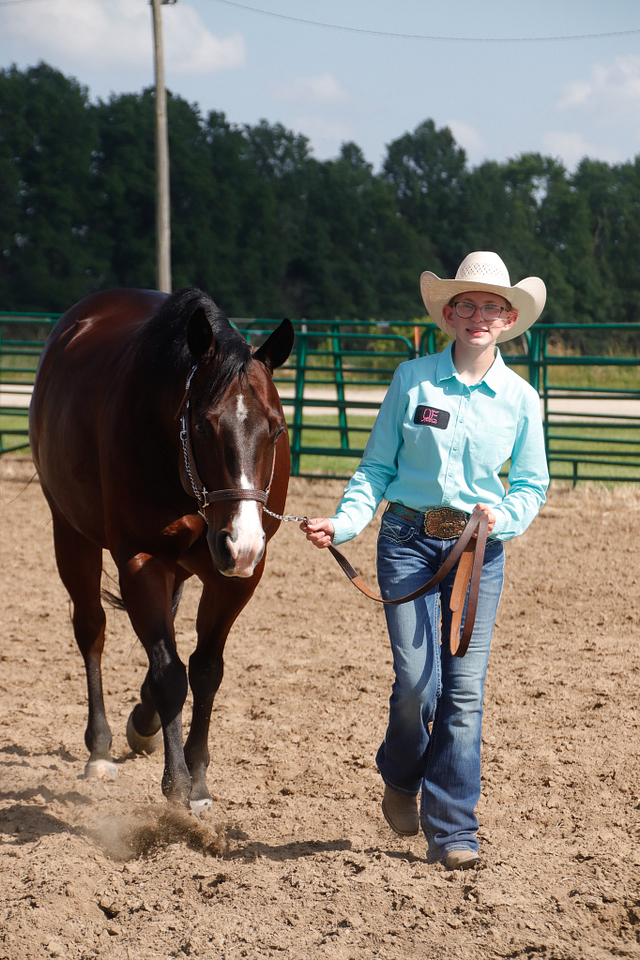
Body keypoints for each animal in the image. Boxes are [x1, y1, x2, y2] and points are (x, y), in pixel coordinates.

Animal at [29, 287, 294, 811]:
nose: (242, 542)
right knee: (92, 631)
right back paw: (101, 749)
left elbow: (205, 669)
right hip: (71, 535)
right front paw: (177, 787)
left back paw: (144, 720)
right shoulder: (141, 561)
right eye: (205, 426)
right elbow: (171, 674)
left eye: (275, 428)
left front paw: (199, 778)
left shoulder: (239, 577)